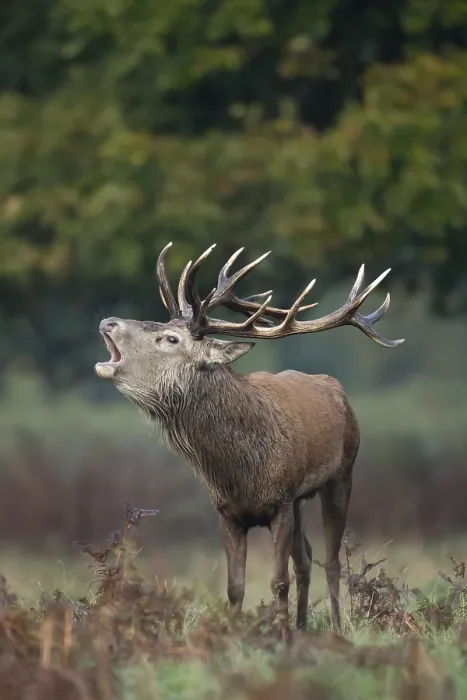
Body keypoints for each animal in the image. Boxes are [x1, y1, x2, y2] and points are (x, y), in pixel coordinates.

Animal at [95, 243, 403, 633]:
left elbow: (278, 581)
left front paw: (281, 634)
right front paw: (239, 633)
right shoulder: (228, 512)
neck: (240, 471)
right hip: (301, 499)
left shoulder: (281, 502)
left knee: (331, 562)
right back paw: (303, 626)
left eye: (170, 338)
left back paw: (334, 627)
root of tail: (335, 387)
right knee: (306, 558)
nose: (108, 321)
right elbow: (235, 586)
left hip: (341, 474)